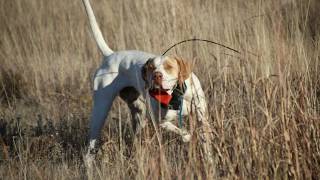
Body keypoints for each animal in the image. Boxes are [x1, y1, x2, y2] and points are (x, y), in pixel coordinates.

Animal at [82, 0, 212, 162]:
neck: (176, 96)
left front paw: (210, 162)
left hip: (138, 114)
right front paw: (186, 136)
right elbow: (179, 131)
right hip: (101, 110)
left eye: (168, 67)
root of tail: (110, 55)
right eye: (151, 67)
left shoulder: (202, 118)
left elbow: (206, 143)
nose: (157, 75)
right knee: (89, 149)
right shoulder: (159, 121)